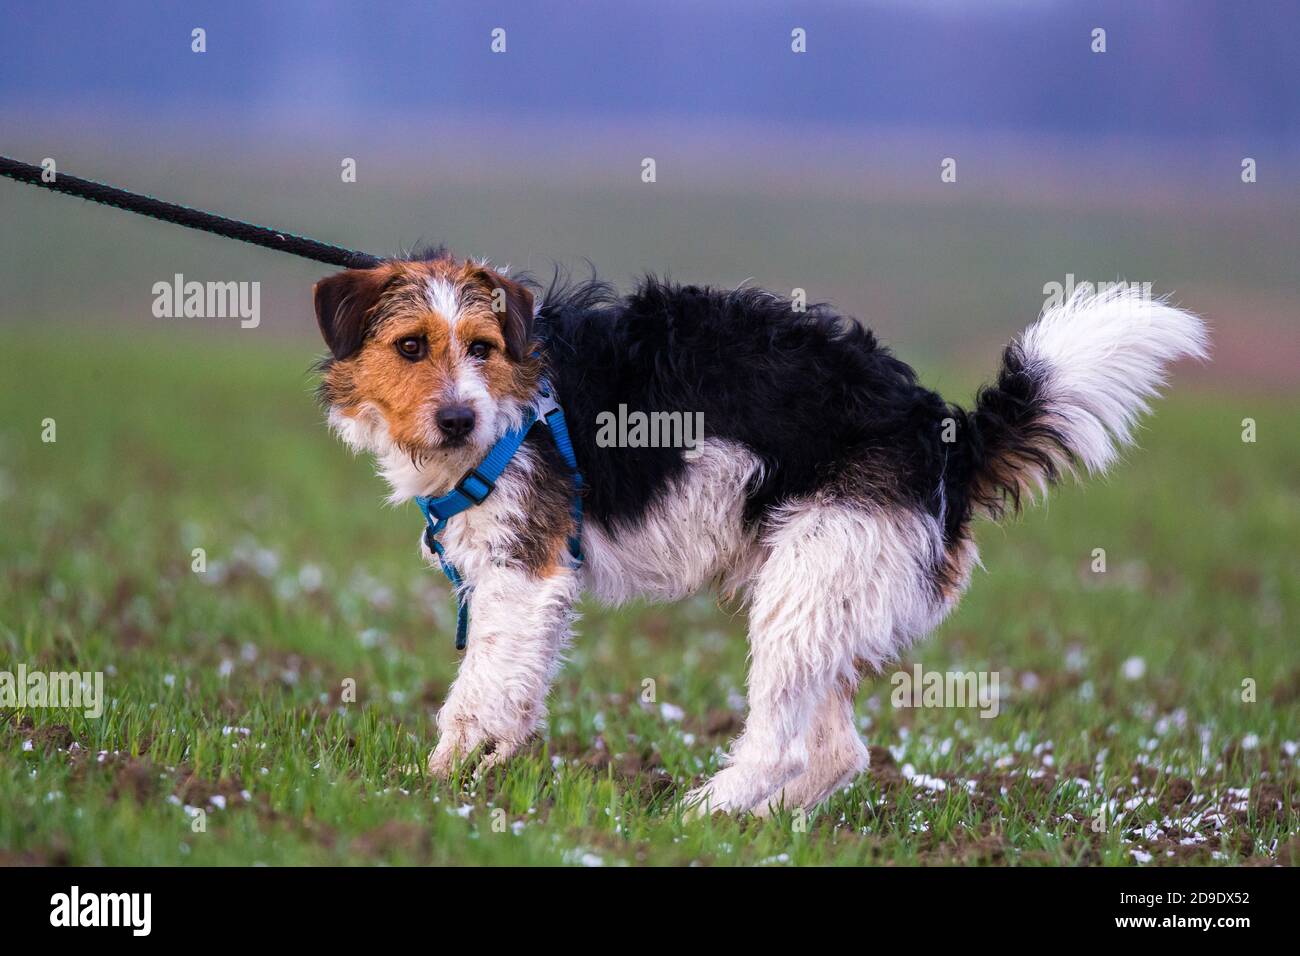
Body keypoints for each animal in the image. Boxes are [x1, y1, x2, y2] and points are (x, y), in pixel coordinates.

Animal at [314, 248, 1206, 816]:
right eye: (410, 346)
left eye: (482, 347)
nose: (458, 420)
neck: (518, 391)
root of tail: (948, 434)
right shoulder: (523, 583)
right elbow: (512, 690)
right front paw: (481, 771)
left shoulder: (519, 573)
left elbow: (476, 695)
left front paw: (426, 786)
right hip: (823, 589)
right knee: (837, 752)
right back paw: (765, 830)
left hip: (811, 578)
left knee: (783, 745)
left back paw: (701, 815)